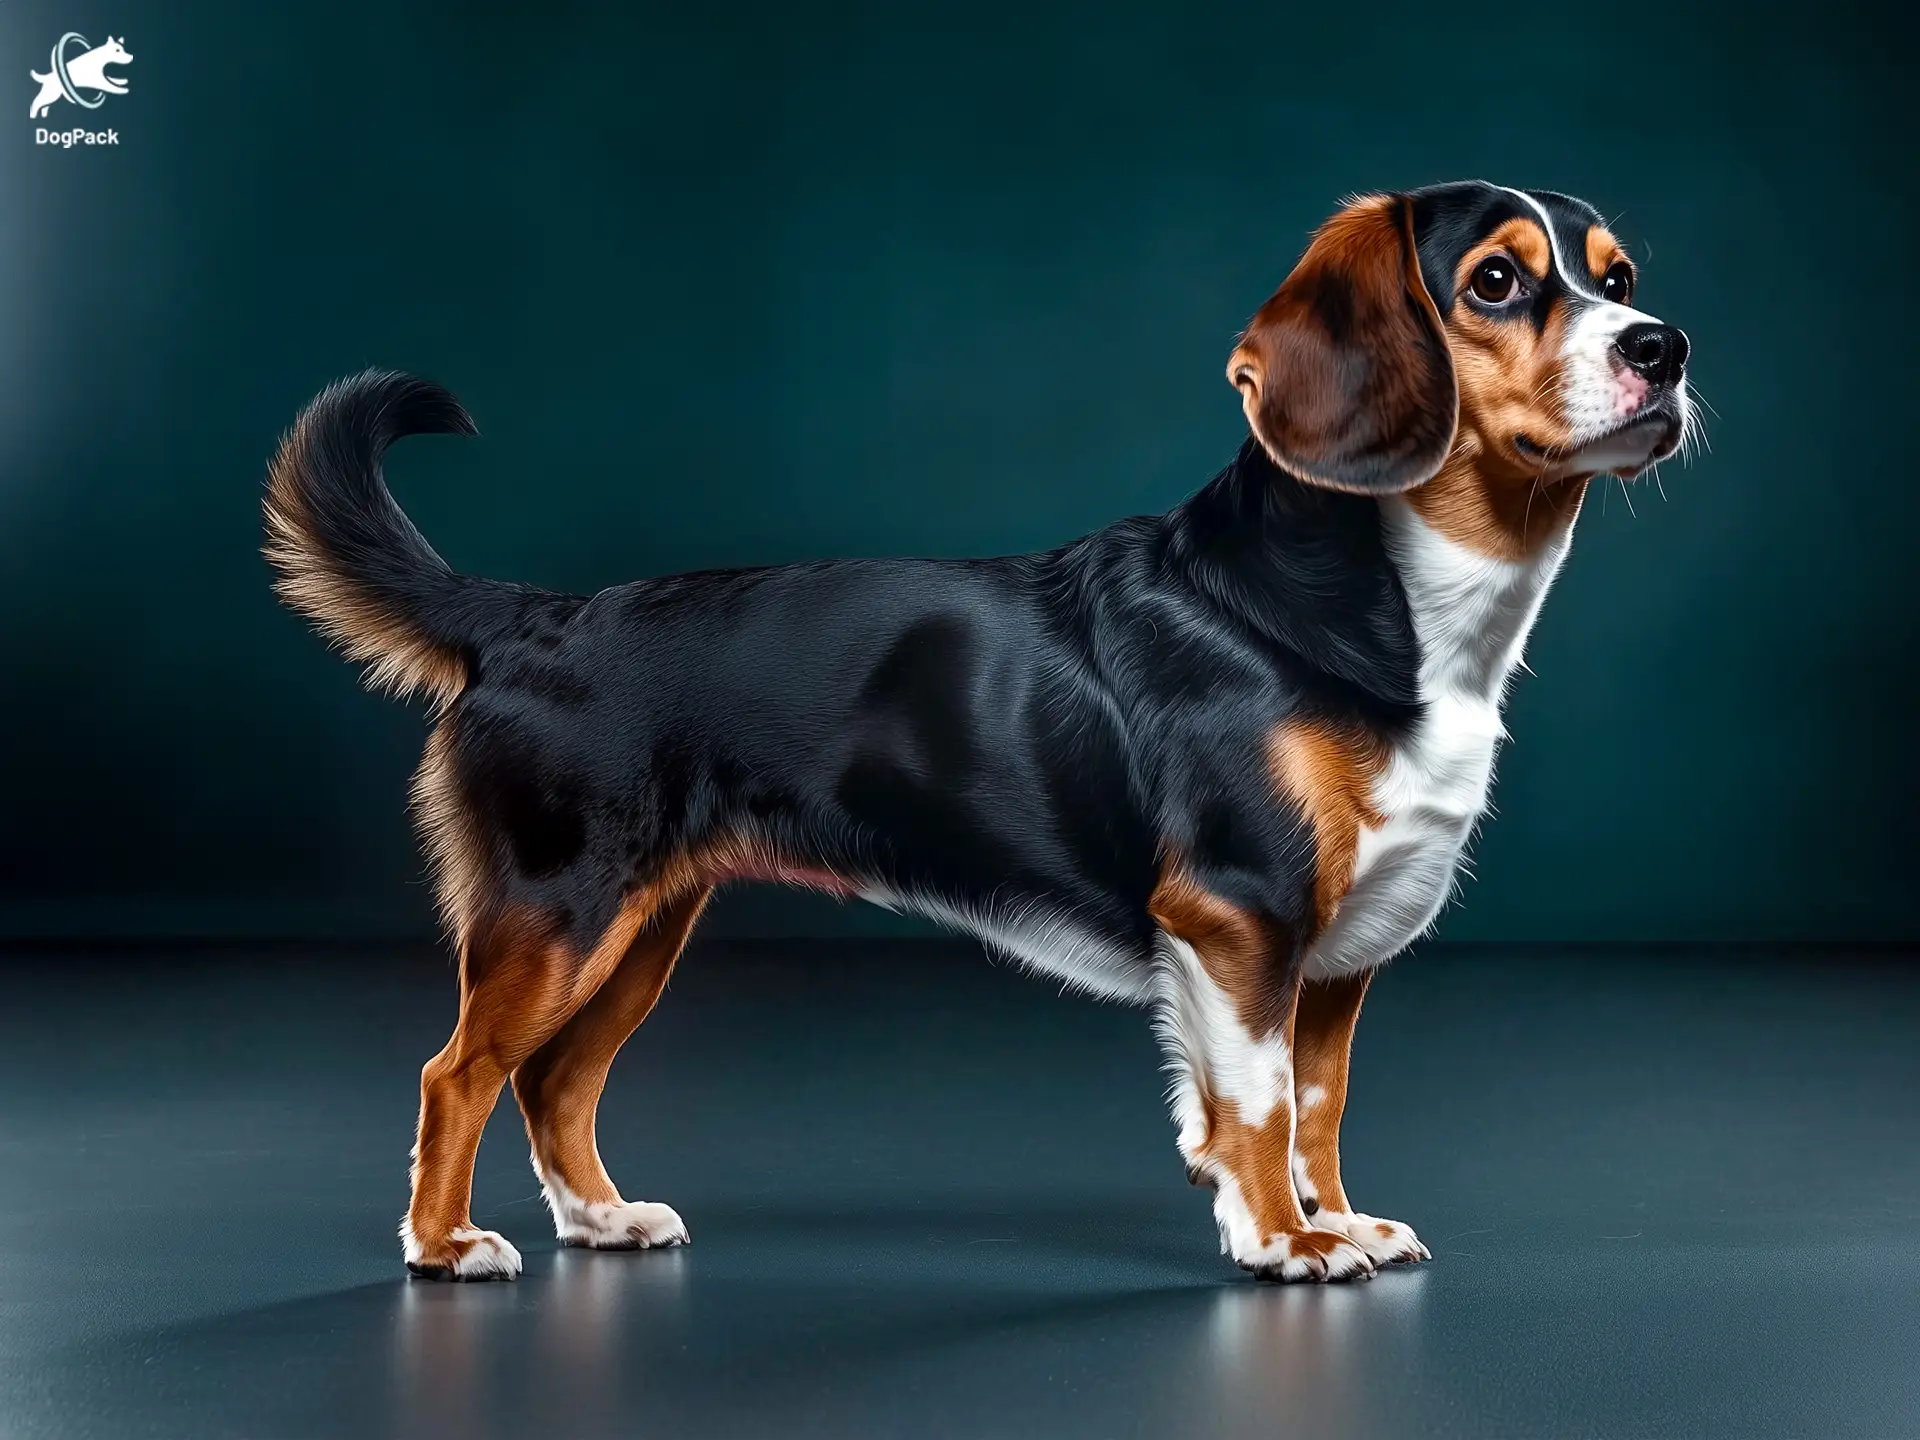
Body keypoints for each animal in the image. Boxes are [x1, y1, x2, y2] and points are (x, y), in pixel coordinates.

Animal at [259, 177, 1697, 1282]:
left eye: (1620, 277)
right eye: (1497, 282)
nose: (1665, 347)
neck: (1384, 609)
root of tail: (534, 618)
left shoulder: (1333, 954)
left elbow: (1318, 1106)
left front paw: (1337, 1220)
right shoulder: (1239, 915)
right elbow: (1255, 1105)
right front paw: (1286, 1244)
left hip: (643, 927)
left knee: (553, 1082)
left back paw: (603, 1221)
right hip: (557, 914)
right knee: (458, 1075)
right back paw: (444, 1250)